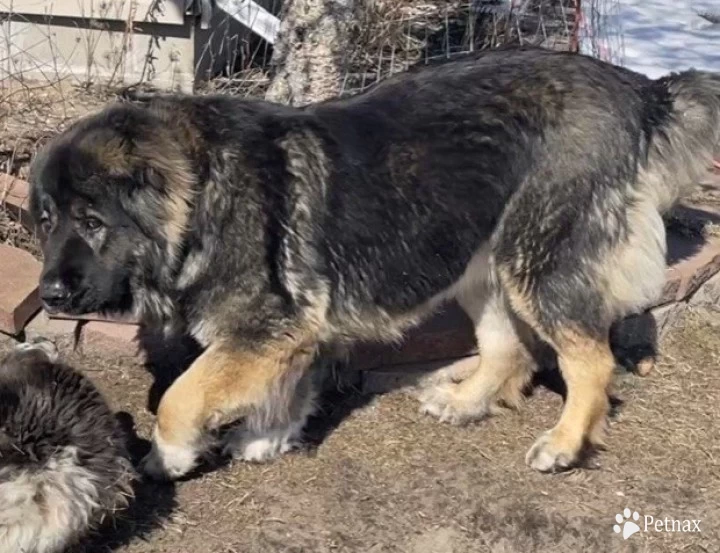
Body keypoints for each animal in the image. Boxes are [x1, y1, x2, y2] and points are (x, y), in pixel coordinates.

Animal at [26, 47, 720, 478]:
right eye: (45, 220)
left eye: (92, 222)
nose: (51, 296)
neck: (201, 194)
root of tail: (640, 90)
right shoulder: (288, 331)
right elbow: (284, 387)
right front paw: (269, 437)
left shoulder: (262, 329)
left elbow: (179, 395)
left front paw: (170, 454)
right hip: (482, 263)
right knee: (509, 349)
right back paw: (466, 403)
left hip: (535, 261)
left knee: (590, 361)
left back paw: (564, 445)